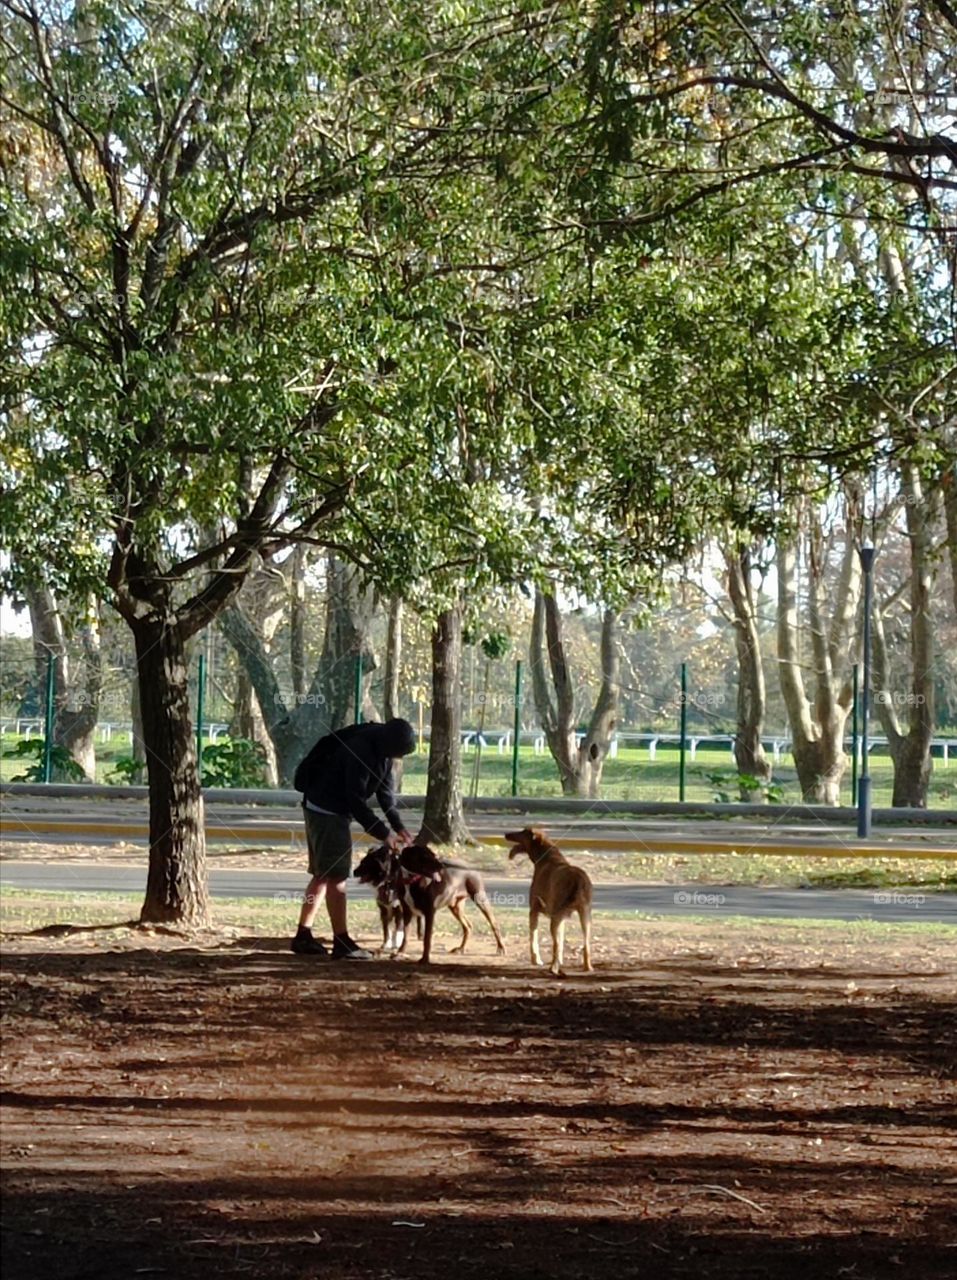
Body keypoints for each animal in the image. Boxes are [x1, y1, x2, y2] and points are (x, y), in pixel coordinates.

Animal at [509, 824, 591, 972]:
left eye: (522, 831)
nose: (506, 834)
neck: (546, 856)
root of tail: (578, 880)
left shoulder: (534, 910)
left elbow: (533, 937)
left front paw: (536, 959)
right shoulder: (562, 918)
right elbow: (561, 942)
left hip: (555, 918)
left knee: (555, 944)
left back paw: (553, 968)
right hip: (585, 918)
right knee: (586, 944)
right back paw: (587, 967)